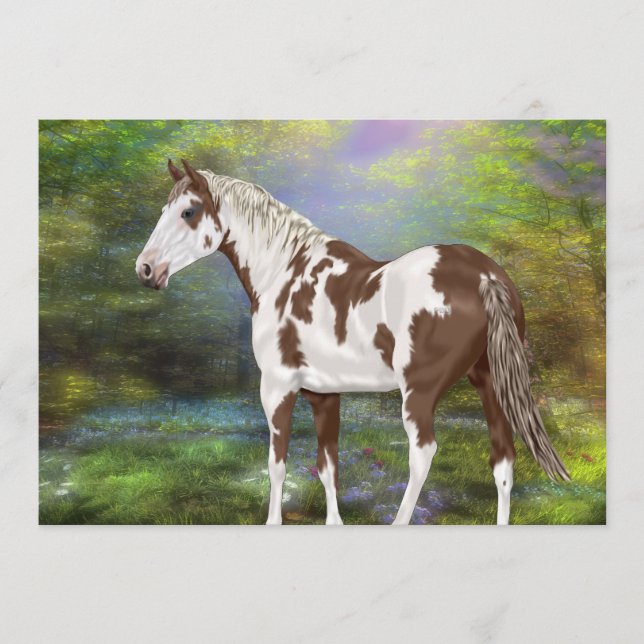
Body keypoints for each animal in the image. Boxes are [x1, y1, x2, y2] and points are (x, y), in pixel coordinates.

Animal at [136, 158, 570, 526]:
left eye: (188, 212)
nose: (145, 269)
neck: (283, 271)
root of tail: (484, 275)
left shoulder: (277, 388)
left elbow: (277, 462)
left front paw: (273, 522)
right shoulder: (324, 394)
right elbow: (328, 466)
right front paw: (334, 522)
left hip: (419, 391)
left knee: (423, 453)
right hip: (489, 384)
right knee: (503, 461)